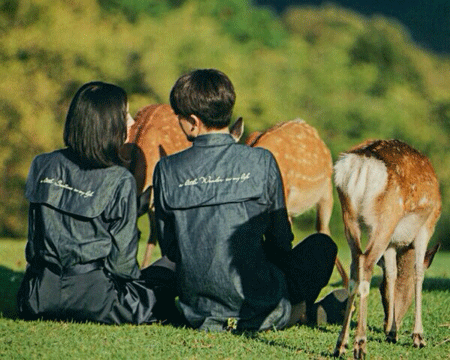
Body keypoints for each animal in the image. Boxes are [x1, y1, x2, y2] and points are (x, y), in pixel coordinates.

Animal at [332, 139, 442, 358]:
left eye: (382, 291)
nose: (386, 325)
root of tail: (361, 164)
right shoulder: (426, 227)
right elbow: (418, 273)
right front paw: (418, 336)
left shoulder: (392, 242)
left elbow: (391, 273)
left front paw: (392, 332)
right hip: (385, 219)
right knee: (366, 264)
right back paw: (360, 344)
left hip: (348, 216)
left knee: (355, 266)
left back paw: (341, 344)